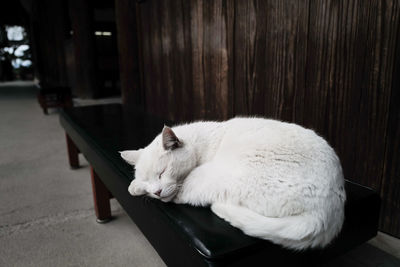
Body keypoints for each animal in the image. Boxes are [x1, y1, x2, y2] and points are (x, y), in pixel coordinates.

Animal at [119, 118, 346, 250]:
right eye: (148, 181)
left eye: (163, 172)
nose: (156, 192)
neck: (199, 142)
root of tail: (329, 211)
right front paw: (136, 185)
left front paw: (135, 187)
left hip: (211, 176)